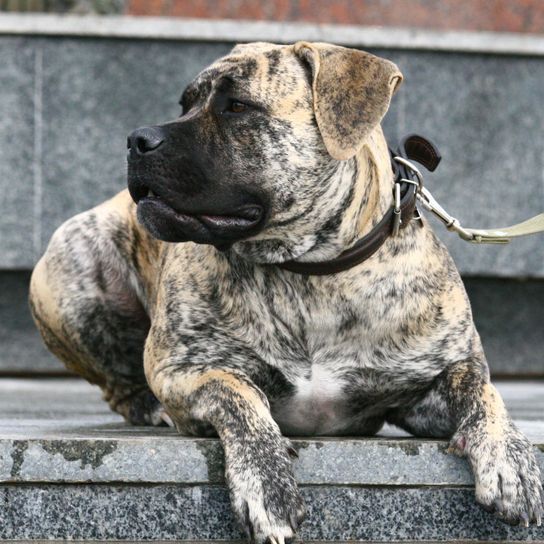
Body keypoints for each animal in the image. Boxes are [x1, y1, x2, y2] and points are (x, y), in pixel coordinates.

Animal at [30, 41, 544, 540]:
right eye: (185, 104)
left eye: (237, 106)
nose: (137, 139)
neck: (310, 272)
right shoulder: (182, 370)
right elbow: (238, 392)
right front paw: (267, 484)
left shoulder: (429, 381)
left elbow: (481, 389)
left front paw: (510, 458)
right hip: (76, 266)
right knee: (117, 383)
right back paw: (149, 407)